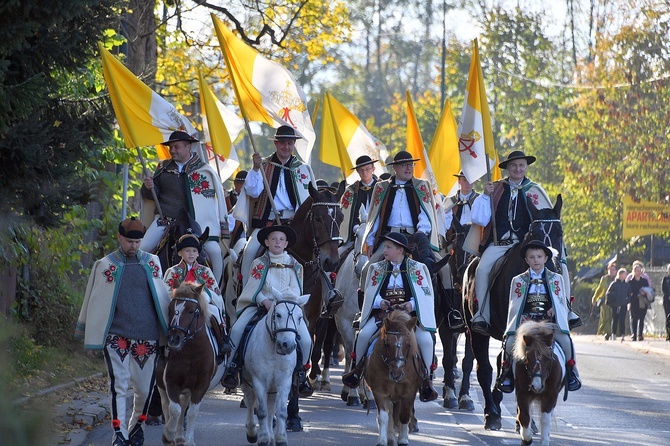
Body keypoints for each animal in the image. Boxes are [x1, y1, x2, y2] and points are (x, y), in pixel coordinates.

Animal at [242, 290, 310, 446]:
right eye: (278, 314)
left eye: (300, 317)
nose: (288, 346)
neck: (274, 350)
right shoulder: (259, 381)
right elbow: (261, 411)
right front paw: (263, 438)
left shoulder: (284, 381)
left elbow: (280, 412)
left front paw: (280, 439)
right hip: (247, 381)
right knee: (250, 402)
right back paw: (252, 433)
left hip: (272, 387)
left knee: (271, 406)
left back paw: (271, 436)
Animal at [364, 310, 422, 446]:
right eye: (387, 344)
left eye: (408, 344)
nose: (397, 373)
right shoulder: (380, 391)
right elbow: (383, 417)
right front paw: (382, 440)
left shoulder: (409, 392)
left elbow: (404, 416)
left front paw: (403, 440)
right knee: (390, 413)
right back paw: (390, 437)